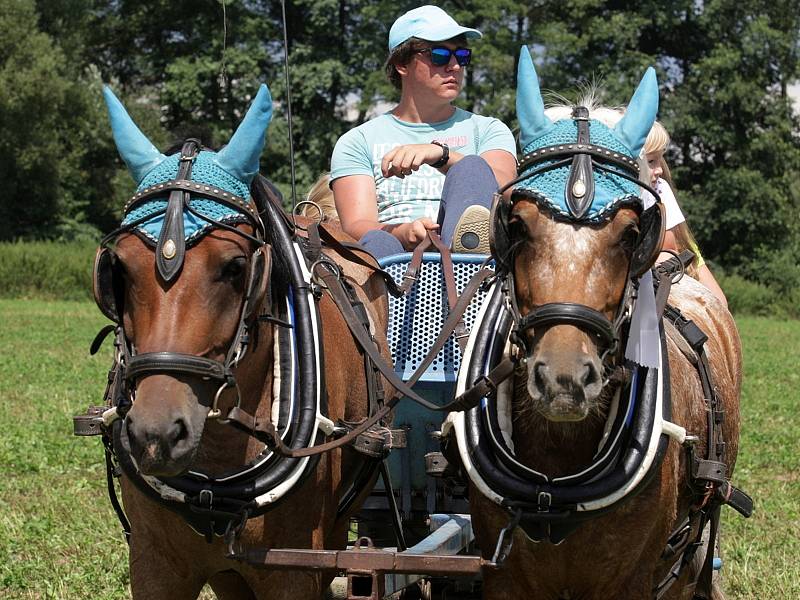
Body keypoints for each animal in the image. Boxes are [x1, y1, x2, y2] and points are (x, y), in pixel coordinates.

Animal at [450, 47, 752, 600]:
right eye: (517, 224)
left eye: (632, 232)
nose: (564, 380)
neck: (555, 487)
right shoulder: (504, 575)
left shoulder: (637, 578)